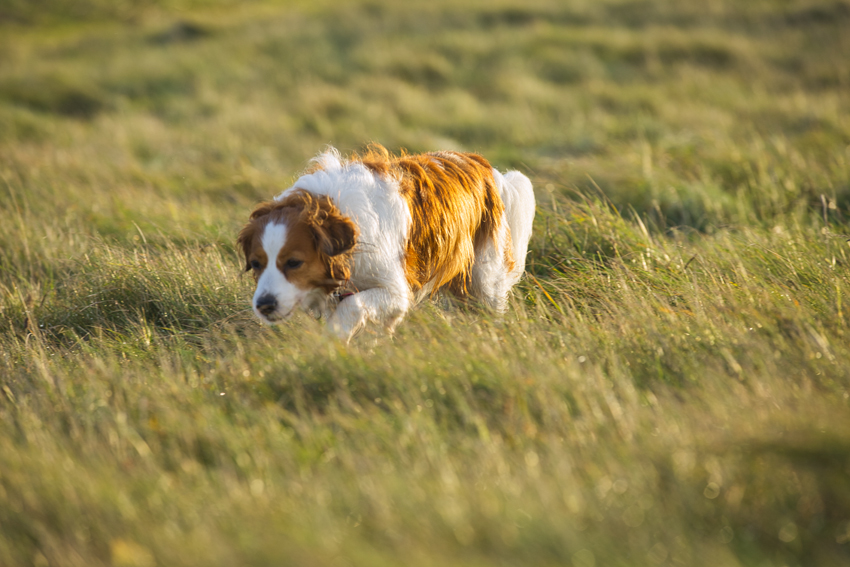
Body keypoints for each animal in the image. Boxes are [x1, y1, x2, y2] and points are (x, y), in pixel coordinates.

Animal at [237, 146, 528, 342]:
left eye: (294, 262)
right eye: (256, 264)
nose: (264, 304)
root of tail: (479, 162)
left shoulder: (396, 291)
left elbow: (353, 306)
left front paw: (333, 340)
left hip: (484, 279)